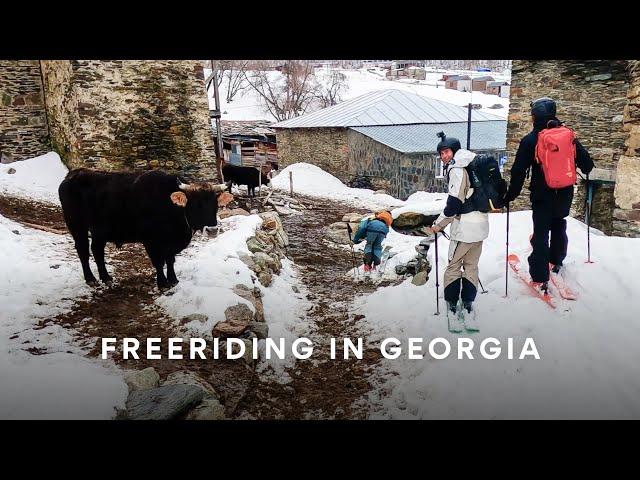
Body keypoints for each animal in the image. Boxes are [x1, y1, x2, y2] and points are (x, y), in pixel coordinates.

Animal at [58, 169, 228, 288]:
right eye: (196, 203)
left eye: (215, 204)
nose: (212, 230)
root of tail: (73, 175)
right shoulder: (151, 241)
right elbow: (158, 262)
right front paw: (162, 283)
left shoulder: (169, 244)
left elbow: (170, 260)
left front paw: (173, 280)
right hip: (77, 226)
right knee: (83, 251)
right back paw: (91, 279)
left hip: (99, 231)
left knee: (97, 250)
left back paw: (106, 278)